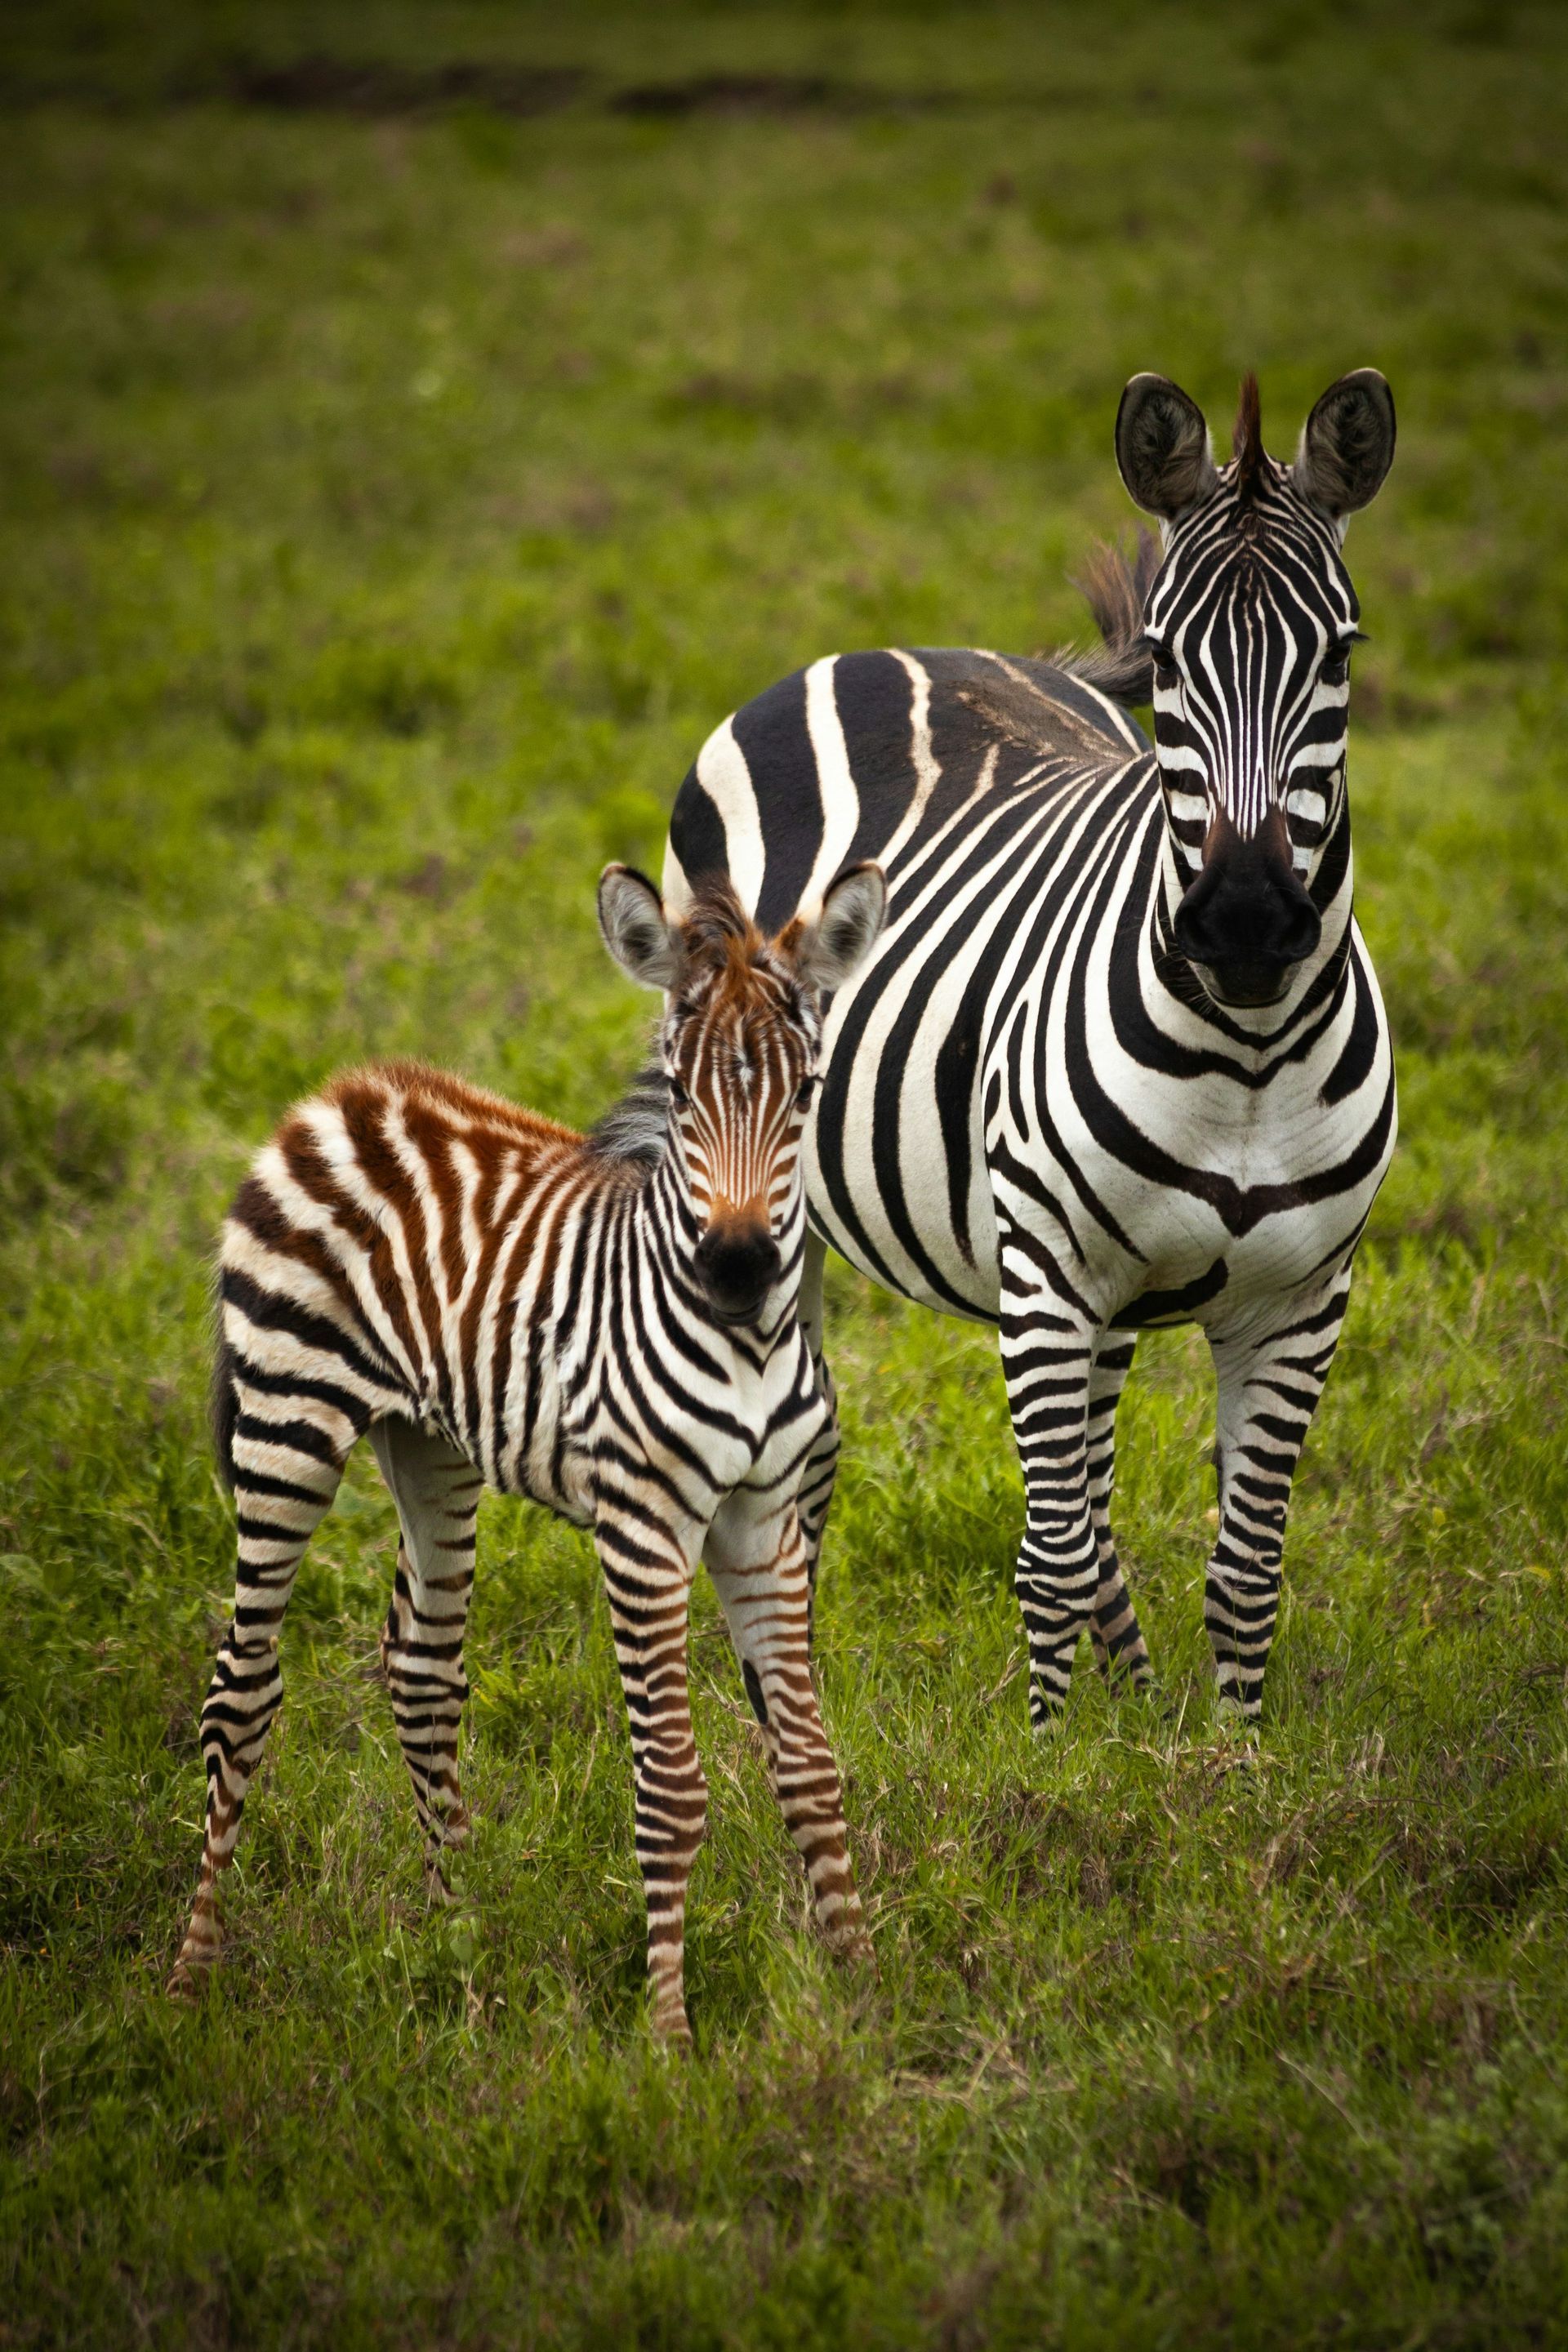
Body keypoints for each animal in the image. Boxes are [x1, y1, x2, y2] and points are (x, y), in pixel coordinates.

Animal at [169, 861, 887, 2042]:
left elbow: (813, 1770)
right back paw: (192, 1975)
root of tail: (338, 1095)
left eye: (806, 1093)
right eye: (679, 1097)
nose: (736, 1266)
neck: (745, 1341)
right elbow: (672, 1787)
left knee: (421, 1669)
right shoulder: (643, 1528)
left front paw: (858, 1989)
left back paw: (463, 1942)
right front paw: (669, 2033)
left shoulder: (767, 1518)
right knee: (241, 1688)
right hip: (286, 1421)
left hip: (429, 1444)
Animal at [664, 370, 1398, 1732]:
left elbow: (1244, 1563)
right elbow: (1048, 1548)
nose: (1246, 919)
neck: (1248, 1053)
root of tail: (888, 649)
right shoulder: (1049, 1274)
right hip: (792, 1195)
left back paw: (1138, 1699)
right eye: (1166, 658)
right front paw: (1050, 1752)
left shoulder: (1299, 1298)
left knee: (1093, 1489)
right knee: (825, 1452)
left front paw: (1227, 1752)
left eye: (1340, 654)